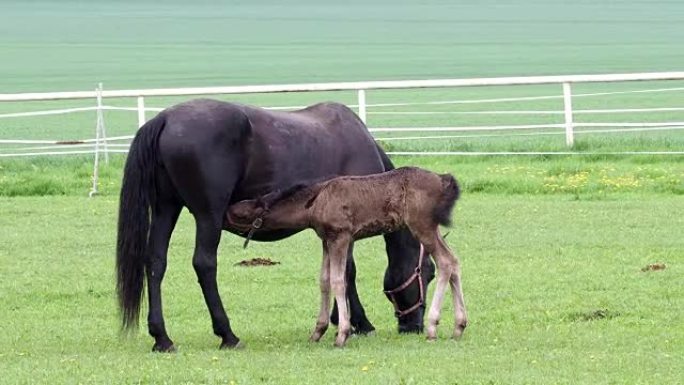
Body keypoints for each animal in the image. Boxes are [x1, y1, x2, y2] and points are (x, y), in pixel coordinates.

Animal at [115, 97, 436, 350]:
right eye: (429, 272)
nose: (413, 326)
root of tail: (165, 119)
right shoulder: (347, 229)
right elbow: (347, 272)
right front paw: (359, 323)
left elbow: (336, 272)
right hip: (208, 216)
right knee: (204, 264)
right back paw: (228, 334)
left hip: (166, 209)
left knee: (156, 263)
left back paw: (162, 338)